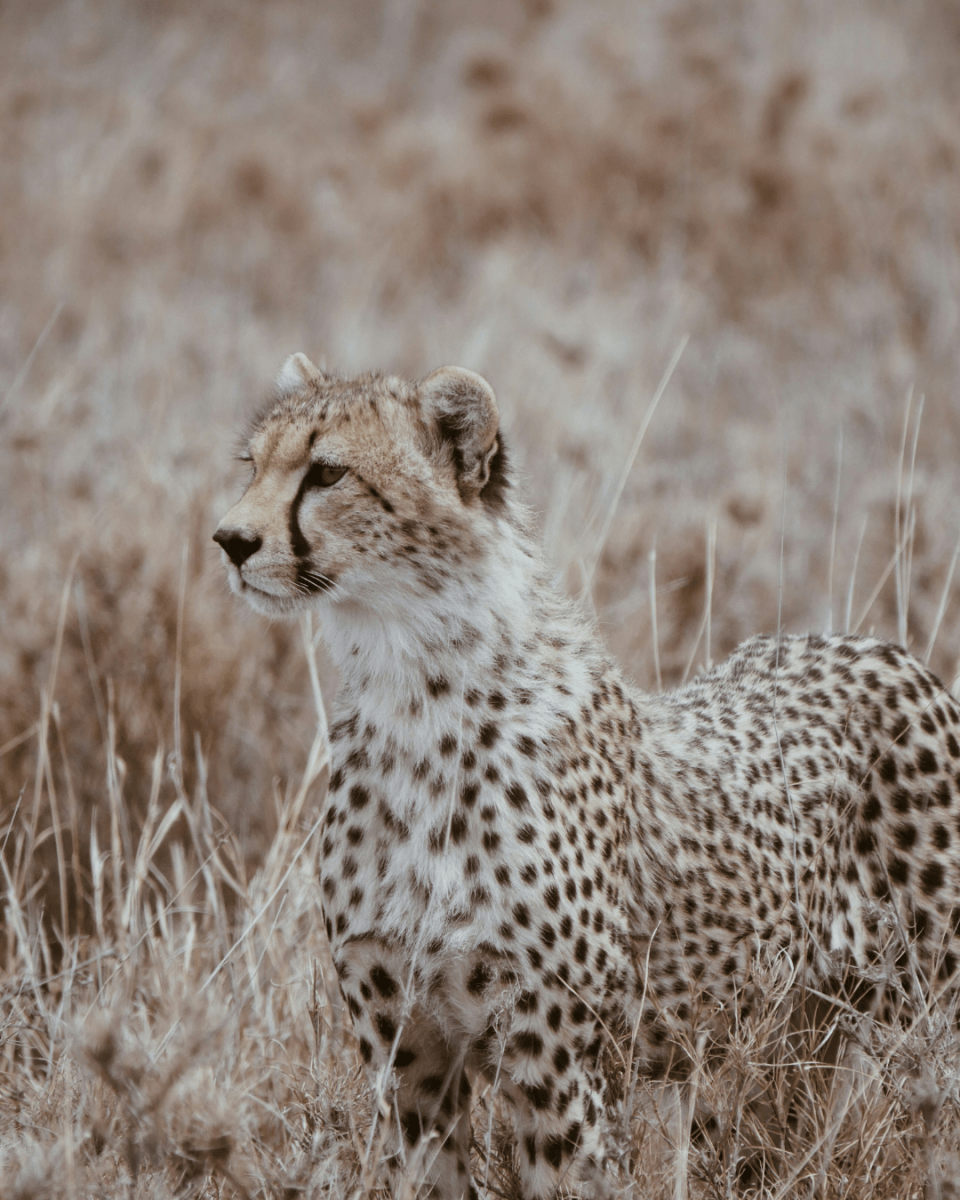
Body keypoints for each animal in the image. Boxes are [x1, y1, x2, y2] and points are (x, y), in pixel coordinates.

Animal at [214, 352, 960, 1200]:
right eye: (252, 465)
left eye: (328, 472)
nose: (230, 540)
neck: (410, 691)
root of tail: (878, 647)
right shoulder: (410, 1060)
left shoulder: (558, 1064)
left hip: (922, 1017)